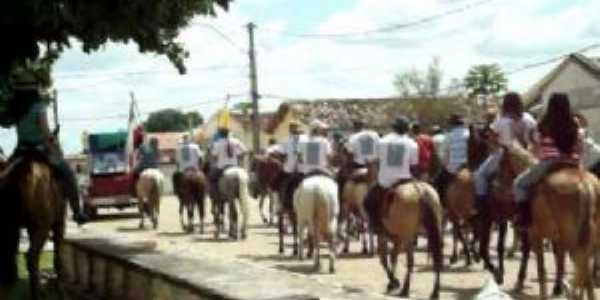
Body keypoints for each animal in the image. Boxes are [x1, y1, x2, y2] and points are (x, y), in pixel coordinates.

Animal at [0, 155, 66, 300]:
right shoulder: (58, 223)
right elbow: (58, 258)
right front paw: (59, 291)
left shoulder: (28, 227)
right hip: (42, 226)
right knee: (31, 256)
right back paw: (36, 294)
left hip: (10, 226)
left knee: (10, 255)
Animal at [506, 144, 600, 298]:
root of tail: (585, 185)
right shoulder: (557, 239)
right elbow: (559, 261)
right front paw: (559, 287)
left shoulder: (535, 235)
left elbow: (539, 266)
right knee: (586, 272)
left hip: (573, 239)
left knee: (583, 268)